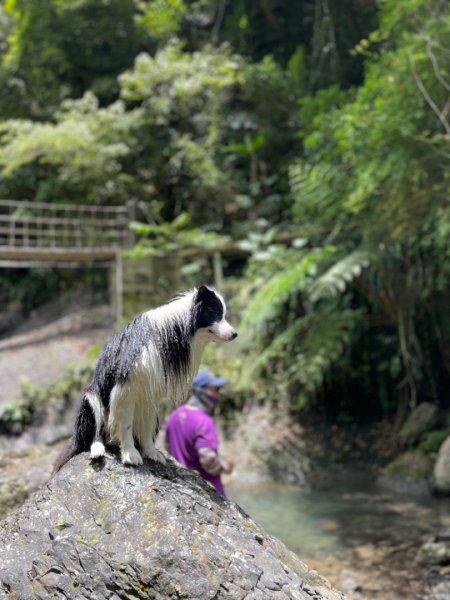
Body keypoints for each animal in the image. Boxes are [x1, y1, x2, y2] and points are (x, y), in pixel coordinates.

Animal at [53, 286, 237, 474]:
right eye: (215, 312)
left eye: (224, 314)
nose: (235, 334)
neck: (171, 331)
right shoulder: (125, 387)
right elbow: (125, 423)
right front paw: (130, 455)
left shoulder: (151, 391)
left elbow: (146, 427)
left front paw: (151, 452)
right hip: (91, 398)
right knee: (92, 435)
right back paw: (97, 449)